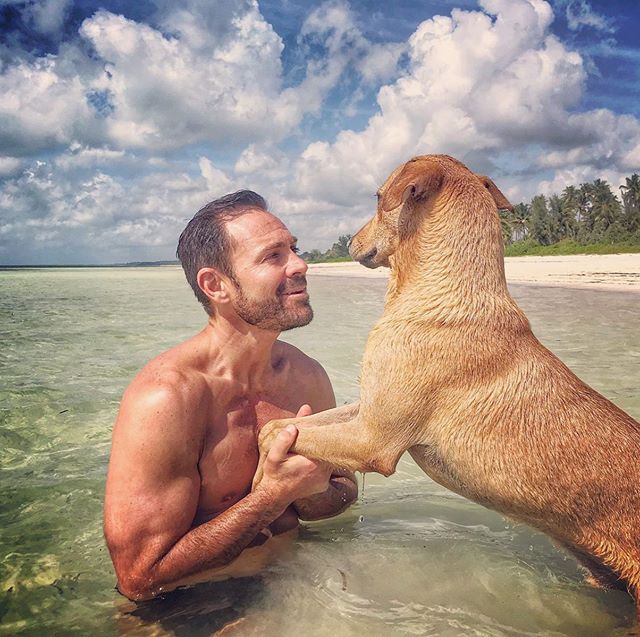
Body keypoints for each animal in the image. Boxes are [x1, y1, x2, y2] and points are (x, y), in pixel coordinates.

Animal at [256, 153, 640, 612]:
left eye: (378, 199)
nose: (347, 243)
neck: (440, 291)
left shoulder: (373, 439)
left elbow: (281, 435)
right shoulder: (368, 409)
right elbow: (277, 427)